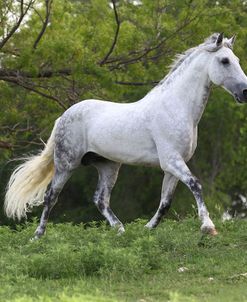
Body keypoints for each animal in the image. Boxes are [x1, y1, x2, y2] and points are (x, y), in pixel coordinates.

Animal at [4, 33, 247, 238]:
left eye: (236, 59)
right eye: (225, 61)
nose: (245, 92)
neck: (175, 107)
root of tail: (64, 116)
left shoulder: (173, 165)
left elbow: (165, 201)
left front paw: (148, 228)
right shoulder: (171, 160)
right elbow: (195, 184)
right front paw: (208, 226)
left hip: (108, 166)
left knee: (100, 200)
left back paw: (121, 231)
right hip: (67, 164)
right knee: (51, 196)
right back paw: (38, 236)